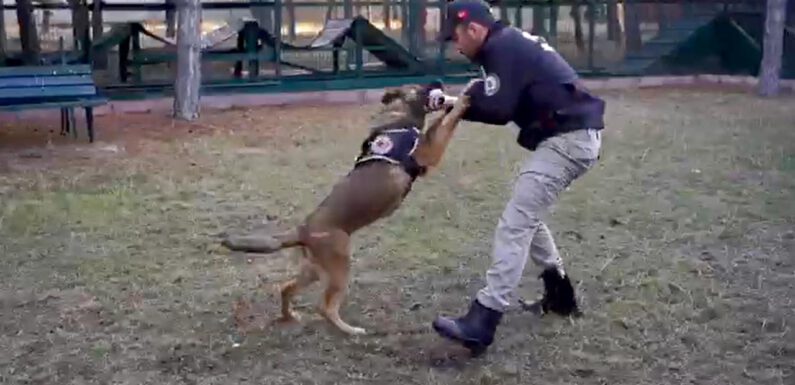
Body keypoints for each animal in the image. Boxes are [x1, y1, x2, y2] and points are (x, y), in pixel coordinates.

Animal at [222, 82, 472, 334]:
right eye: (418, 87)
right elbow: (447, 123)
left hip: (314, 271)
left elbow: (442, 120)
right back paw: (350, 331)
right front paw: (463, 99)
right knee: (324, 307)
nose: (439, 82)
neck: (399, 116)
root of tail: (302, 230)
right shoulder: (430, 151)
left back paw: (290, 316)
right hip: (340, 269)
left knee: (286, 288)